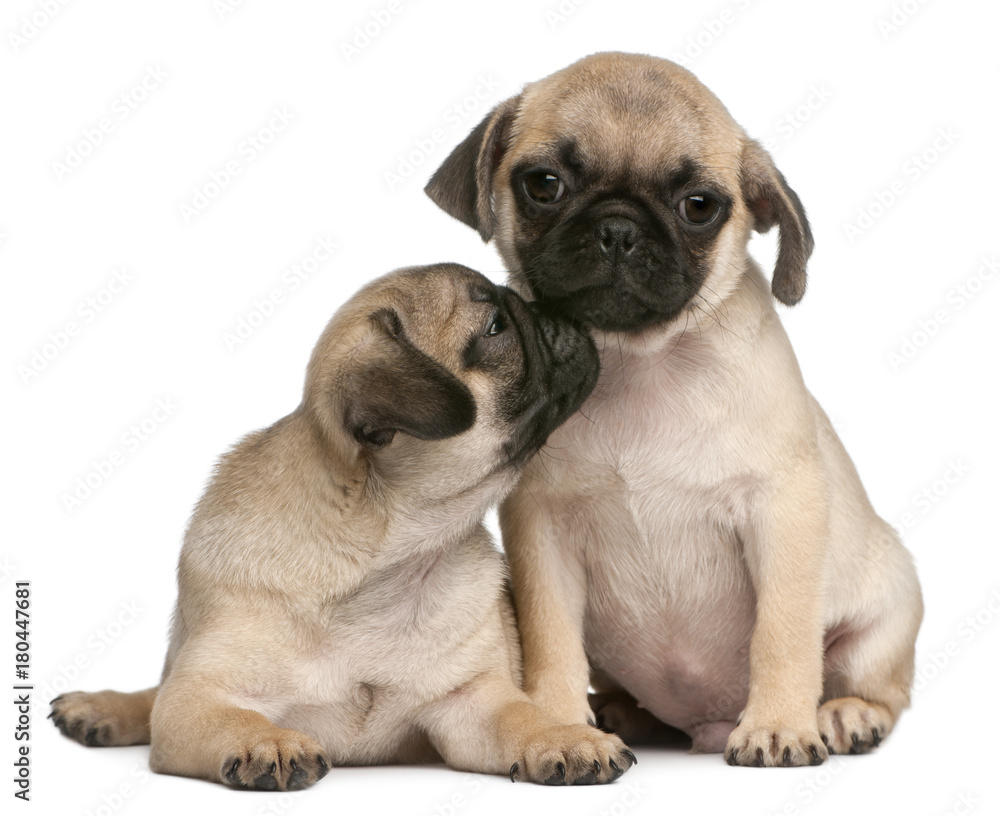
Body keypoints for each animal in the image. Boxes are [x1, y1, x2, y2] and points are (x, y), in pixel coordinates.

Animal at [50, 264, 636, 788]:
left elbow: (522, 716)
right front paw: (268, 740)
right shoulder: (198, 697)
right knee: (157, 694)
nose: (554, 308)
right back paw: (100, 708)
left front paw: (566, 737)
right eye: (496, 327)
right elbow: (228, 715)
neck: (385, 561)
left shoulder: (471, 698)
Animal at [426, 54, 924, 768]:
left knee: (880, 687)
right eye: (544, 185)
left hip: (885, 615)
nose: (618, 228)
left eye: (698, 207)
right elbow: (551, 643)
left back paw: (844, 714)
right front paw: (559, 725)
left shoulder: (782, 514)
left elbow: (782, 633)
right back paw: (619, 712)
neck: (639, 364)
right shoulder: (541, 536)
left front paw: (778, 725)